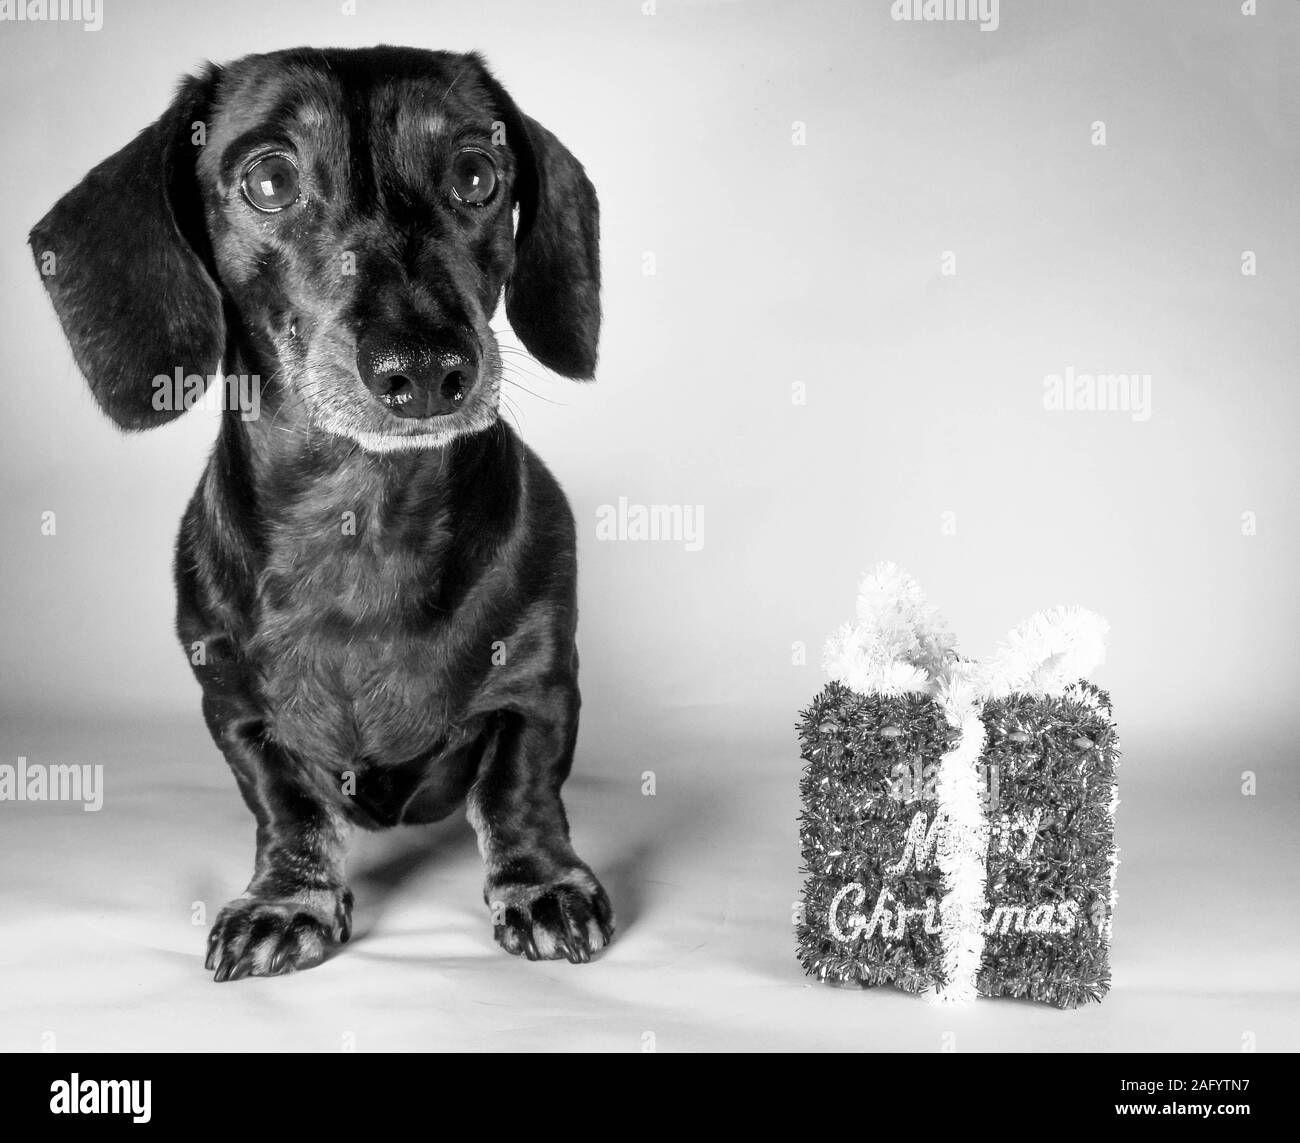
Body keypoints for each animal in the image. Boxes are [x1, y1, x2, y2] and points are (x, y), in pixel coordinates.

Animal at [30, 46, 613, 983]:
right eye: (270, 180)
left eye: (478, 175)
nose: (427, 368)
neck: (362, 515)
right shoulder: (232, 706)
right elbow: (287, 804)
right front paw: (287, 898)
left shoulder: (540, 683)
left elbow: (518, 784)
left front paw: (539, 882)